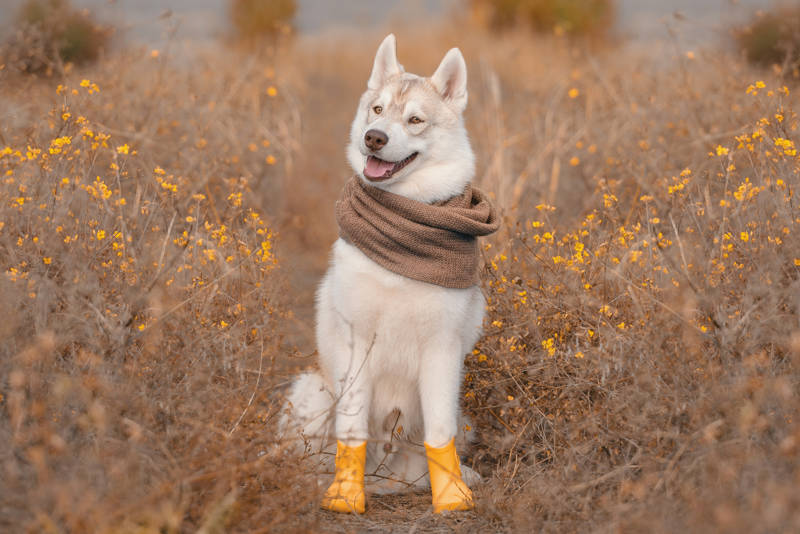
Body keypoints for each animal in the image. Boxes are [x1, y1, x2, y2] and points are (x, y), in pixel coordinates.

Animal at [278, 32, 496, 516]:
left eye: (414, 120)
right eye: (376, 110)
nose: (373, 138)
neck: (404, 231)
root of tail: (391, 476)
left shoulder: (441, 351)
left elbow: (439, 434)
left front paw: (451, 496)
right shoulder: (357, 345)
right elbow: (353, 431)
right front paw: (345, 494)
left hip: (458, 411)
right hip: (313, 392)